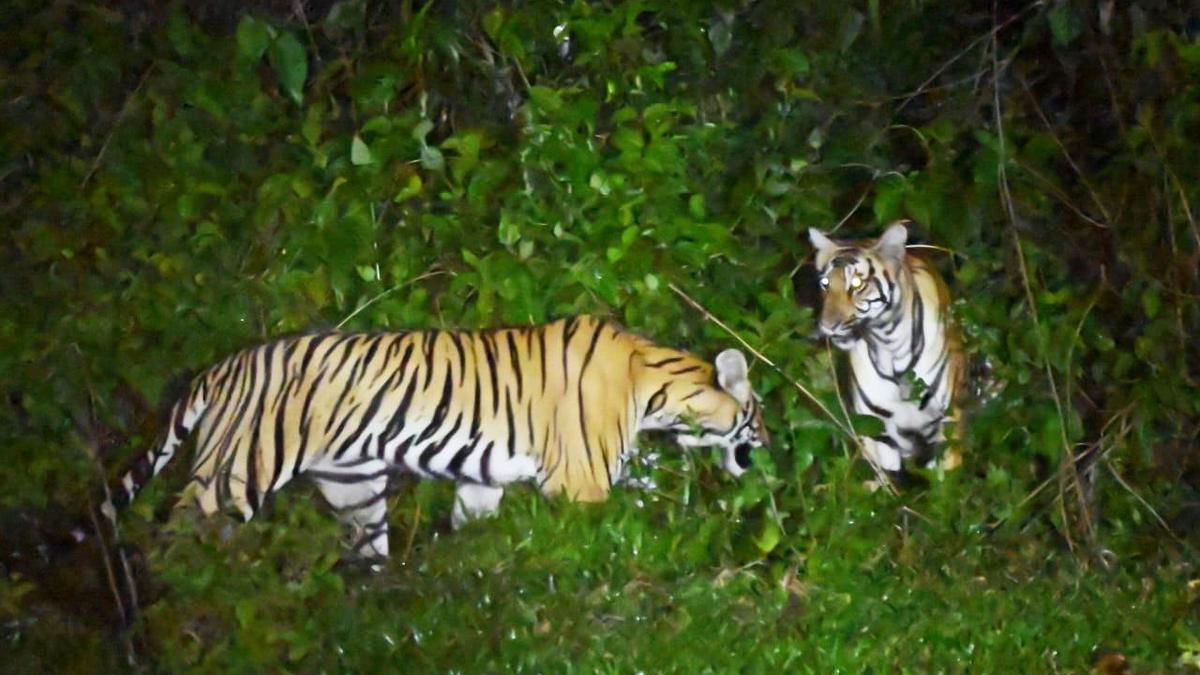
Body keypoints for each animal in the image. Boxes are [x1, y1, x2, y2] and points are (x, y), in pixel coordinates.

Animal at [106, 315, 769, 559]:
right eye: (757, 412)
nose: (768, 445)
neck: (652, 386)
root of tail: (221, 367)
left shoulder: (483, 479)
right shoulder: (581, 485)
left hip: (354, 487)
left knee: (366, 548)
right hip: (237, 470)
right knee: (177, 530)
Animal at [807, 221, 964, 477]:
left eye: (857, 284)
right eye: (825, 284)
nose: (827, 326)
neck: (891, 344)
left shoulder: (946, 423)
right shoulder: (877, 430)